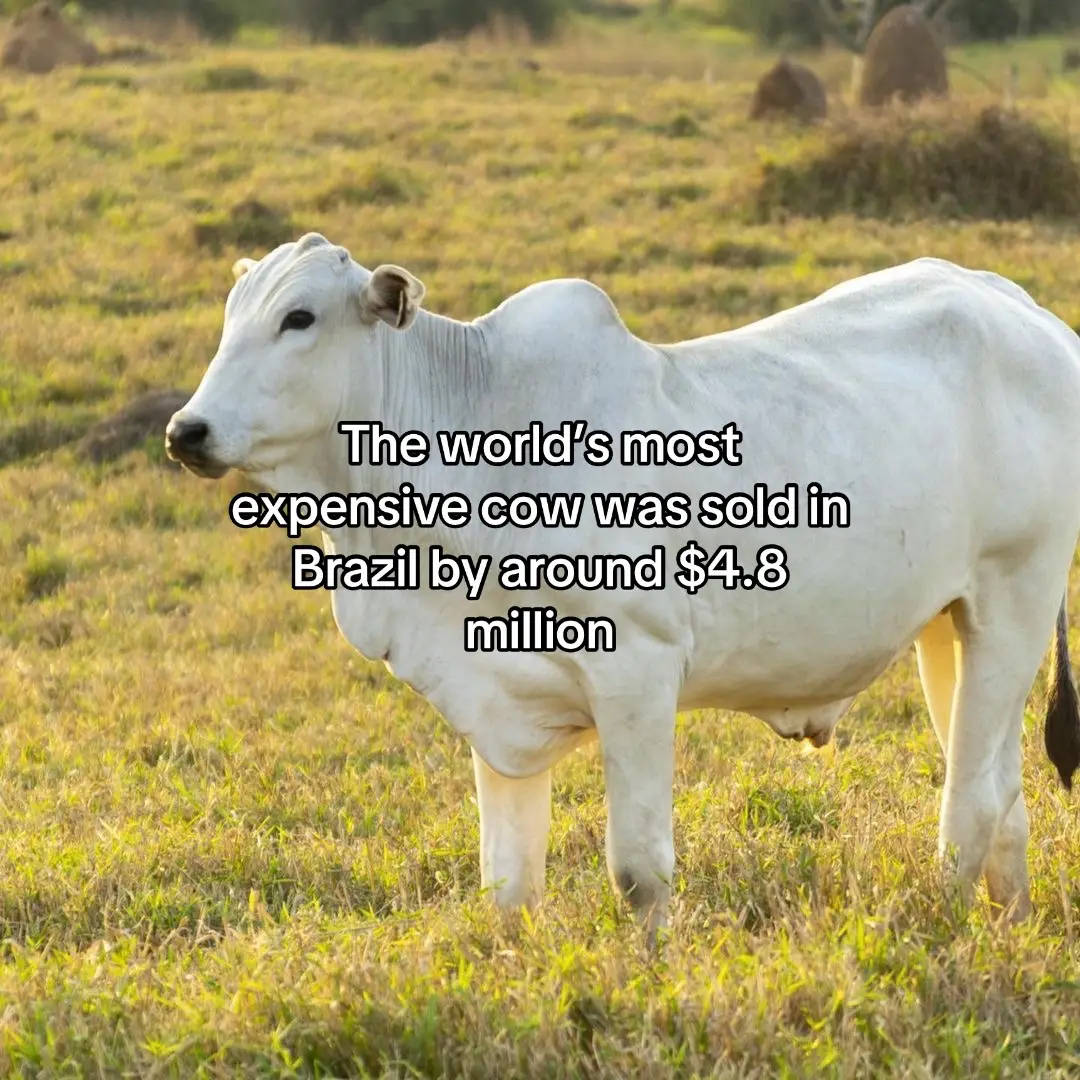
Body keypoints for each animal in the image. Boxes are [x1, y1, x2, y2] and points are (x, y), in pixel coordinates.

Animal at [166, 232, 1080, 947]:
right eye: (232, 314)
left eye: (299, 318)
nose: (186, 431)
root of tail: (1015, 304)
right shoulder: (492, 691)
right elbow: (508, 886)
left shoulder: (637, 670)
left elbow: (639, 870)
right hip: (946, 626)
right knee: (1002, 792)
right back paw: (1009, 923)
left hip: (1017, 596)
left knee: (973, 800)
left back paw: (935, 928)